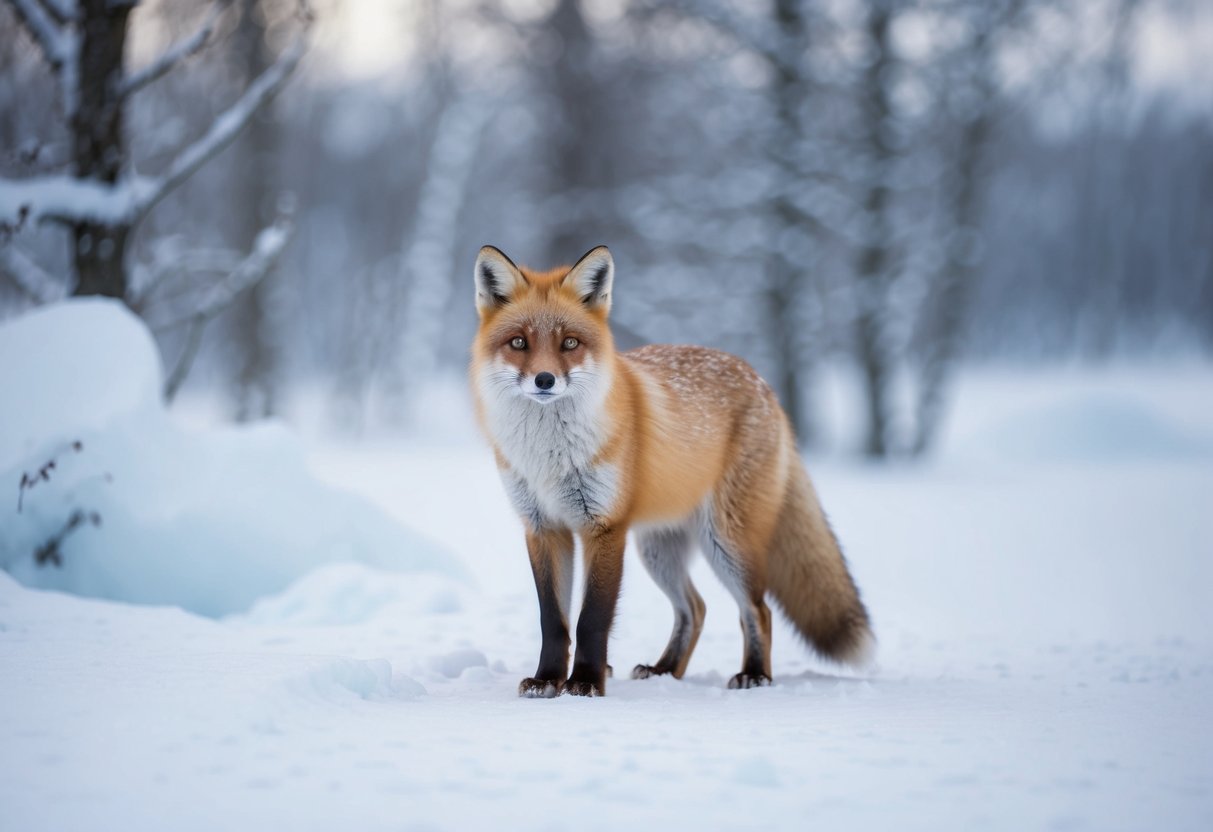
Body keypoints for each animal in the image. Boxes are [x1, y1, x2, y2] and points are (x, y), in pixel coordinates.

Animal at [470, 244, 873, 697]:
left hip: (726, 542)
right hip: (658, 548)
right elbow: (553, 621)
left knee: (758, 609)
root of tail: (761, 382)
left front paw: (586, 682)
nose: (544, 380)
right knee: (695, 608)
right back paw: (665, 669)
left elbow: (592, 619)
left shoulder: (604, 527)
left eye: (569, 342)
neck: (549, 457)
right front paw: (547, 680)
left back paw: (755, 674)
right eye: (519, 342)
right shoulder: (543, 527)